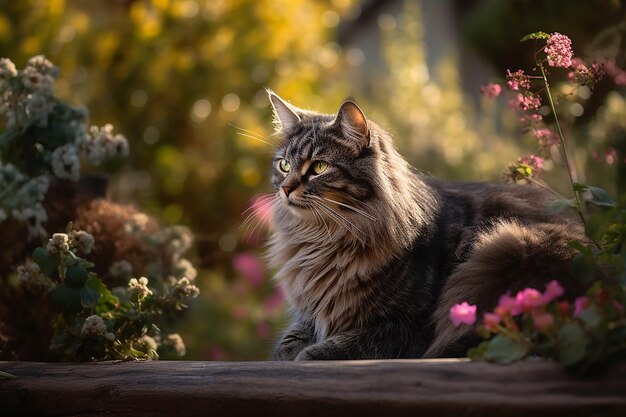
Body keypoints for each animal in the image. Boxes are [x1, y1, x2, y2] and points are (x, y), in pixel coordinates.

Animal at [260, 91, 584, 358]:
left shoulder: (408, 327)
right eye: (284, 165)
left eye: (319, 167)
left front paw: (306, 356)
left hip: (505, 250)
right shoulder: (307, 315)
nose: (285, 189)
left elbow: (331, 347)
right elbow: (286, 344)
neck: (324, 238)